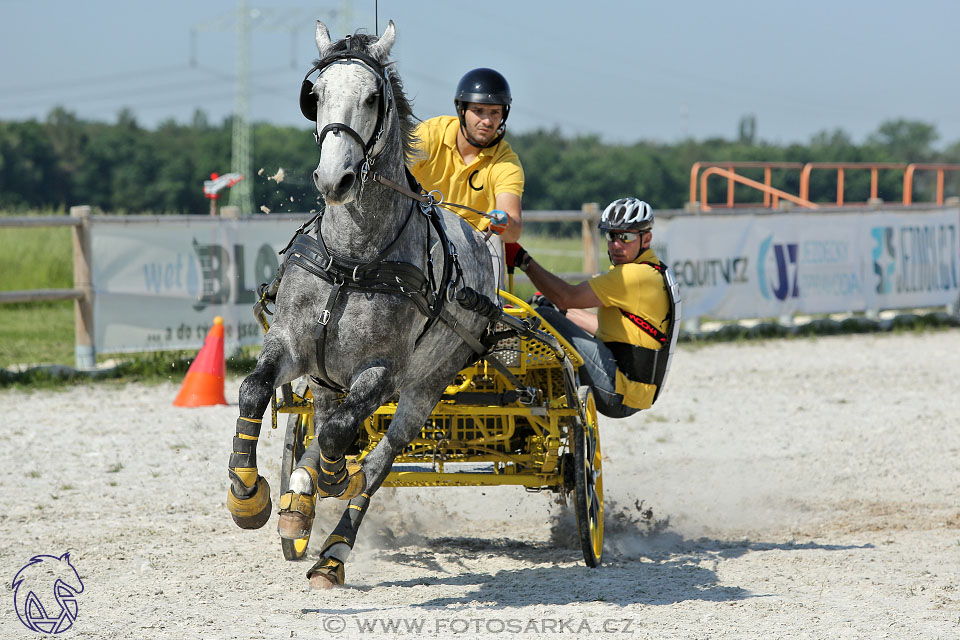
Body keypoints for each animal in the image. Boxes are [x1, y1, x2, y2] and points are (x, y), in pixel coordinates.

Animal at [225, 22, 496, 588]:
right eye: (315, 95)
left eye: (373, 97)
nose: (334, 180)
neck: (352, 260)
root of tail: (484, 245)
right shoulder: (292, 346)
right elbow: (254, 391)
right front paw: (248, 496)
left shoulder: (383, 373)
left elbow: (342, 436)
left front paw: (333, 479)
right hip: (326, 379)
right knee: (320, 428)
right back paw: (297, 504)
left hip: (425, 386)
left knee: (377, 460)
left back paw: (333, 550)